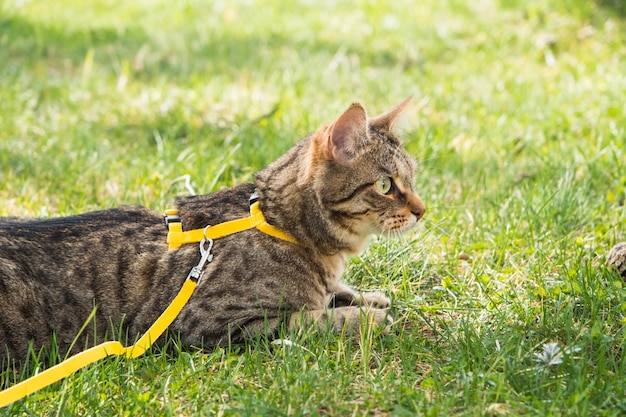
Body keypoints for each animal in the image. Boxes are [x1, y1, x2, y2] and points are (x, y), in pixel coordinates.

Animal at [0, 98, 424, 364]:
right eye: (386, 185)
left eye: (413, 180)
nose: (422, 210)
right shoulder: (210, 325)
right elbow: (309, 319)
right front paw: (366, 319)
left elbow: (335, 293)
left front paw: (367, 298)